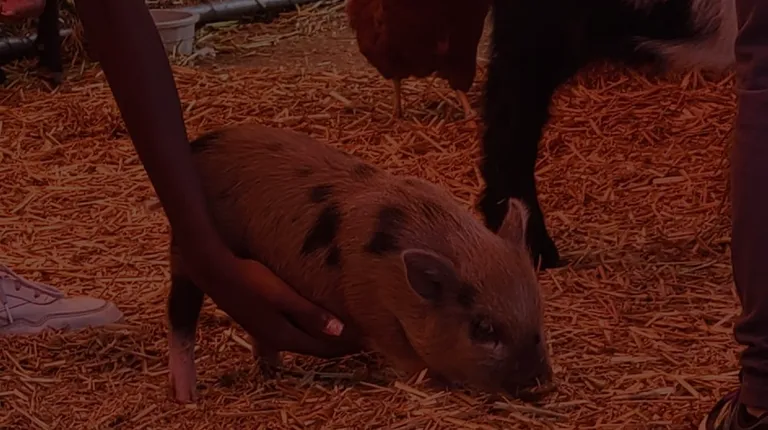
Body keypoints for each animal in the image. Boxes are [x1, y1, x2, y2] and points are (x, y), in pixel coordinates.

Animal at [166, 123, 553, 403]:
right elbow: (405, 355)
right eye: (483, 329)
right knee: (181, 311)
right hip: (190, 248)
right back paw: (188, 397)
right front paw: (436, 384)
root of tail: (198, 146)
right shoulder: (371, 310)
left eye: (538, 311)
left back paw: (274, 371)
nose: (541, 385)